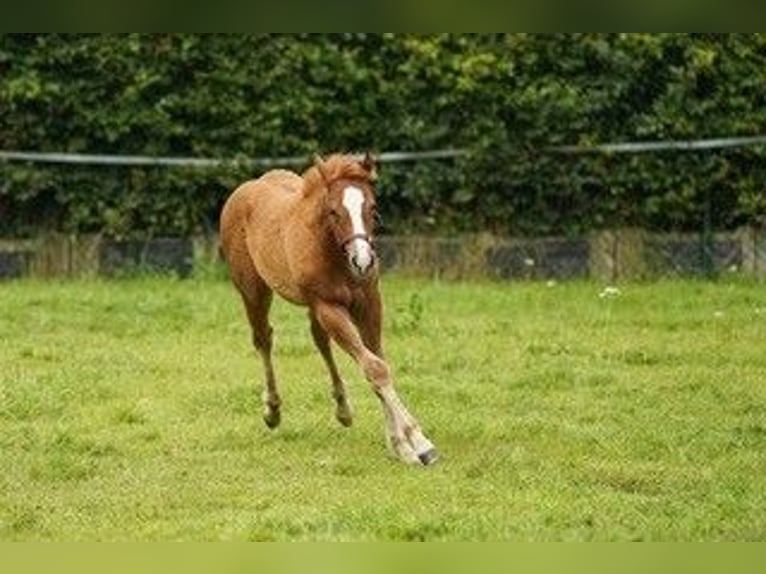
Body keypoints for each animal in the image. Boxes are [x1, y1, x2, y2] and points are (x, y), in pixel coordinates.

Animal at [220, 153, 438, 468]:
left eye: (373, 208)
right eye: (334, 211)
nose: (363, 262)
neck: (333, 252)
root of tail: (245, 189)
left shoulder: (369, 303)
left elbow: (377, 363)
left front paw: (399, 444)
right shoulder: (329, 307)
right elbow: (374, 367)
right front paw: (418, 443)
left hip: (312, 307)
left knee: (319, 341)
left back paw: (343, 409)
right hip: (254, 291)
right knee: (263, 339)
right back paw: (272, 410)